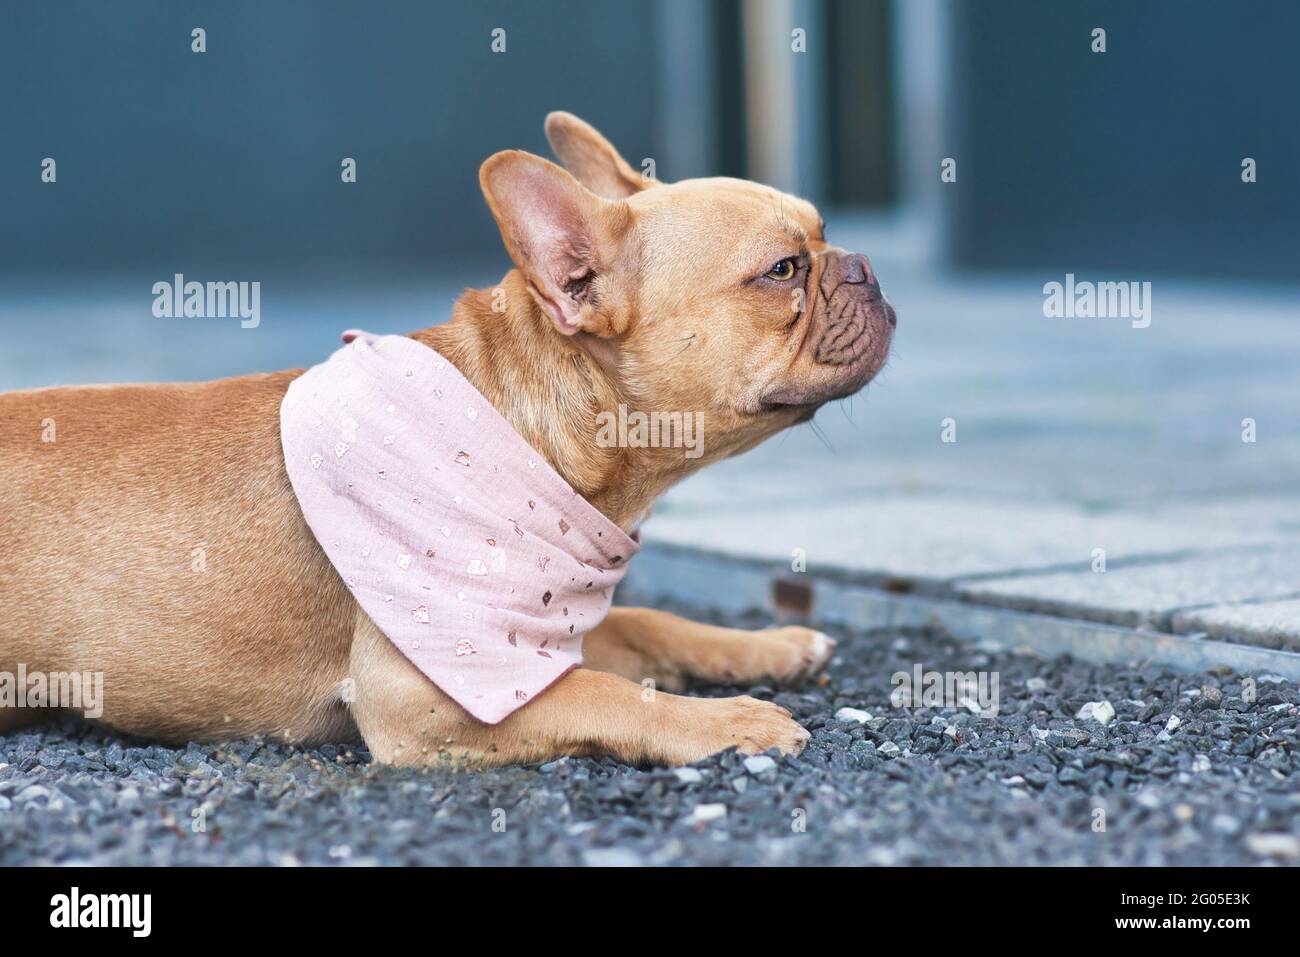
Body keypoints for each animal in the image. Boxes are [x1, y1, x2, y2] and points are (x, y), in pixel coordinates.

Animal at [0, 113, 894, 769]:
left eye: (823, 231)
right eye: (782, 270)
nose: (865, 265)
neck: (527, 426)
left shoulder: (542, 631)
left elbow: (648, 624)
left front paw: (768, 645)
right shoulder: (435, 690)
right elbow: (608, 694)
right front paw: (734, 720)